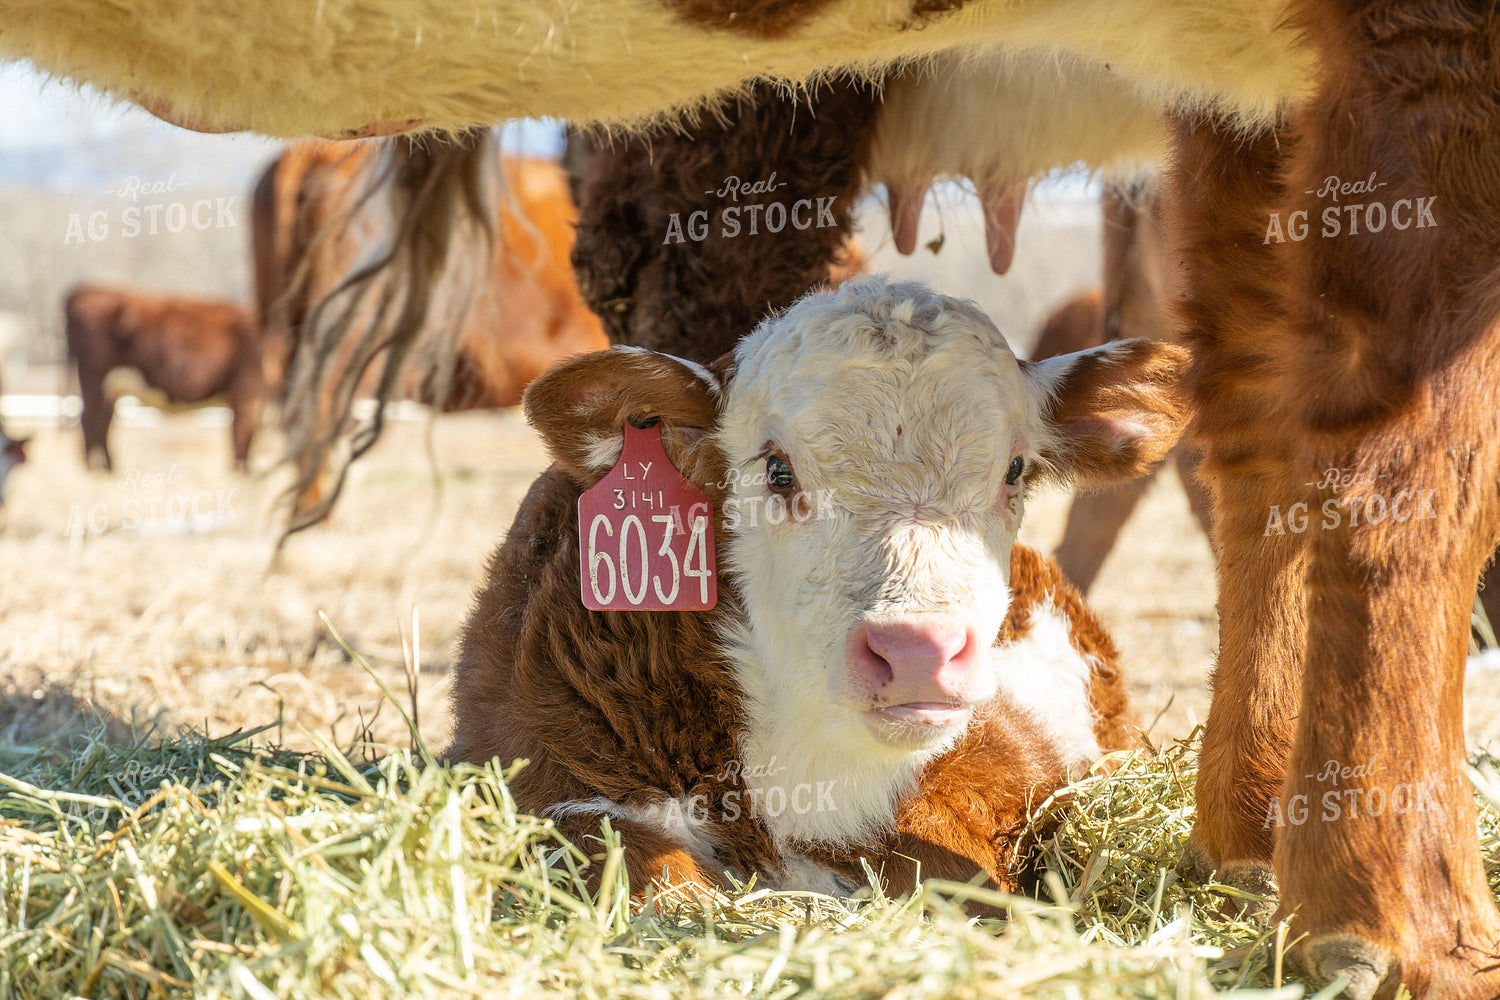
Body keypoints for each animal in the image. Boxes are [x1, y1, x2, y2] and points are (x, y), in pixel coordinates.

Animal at [63, 286, 262, 473]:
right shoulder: (246, 391)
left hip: (112, 385)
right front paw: (240, 471)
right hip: (94, 377)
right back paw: (92, 469)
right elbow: (242, 432)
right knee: (90, 418)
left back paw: (109, 467)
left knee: (103, 420)